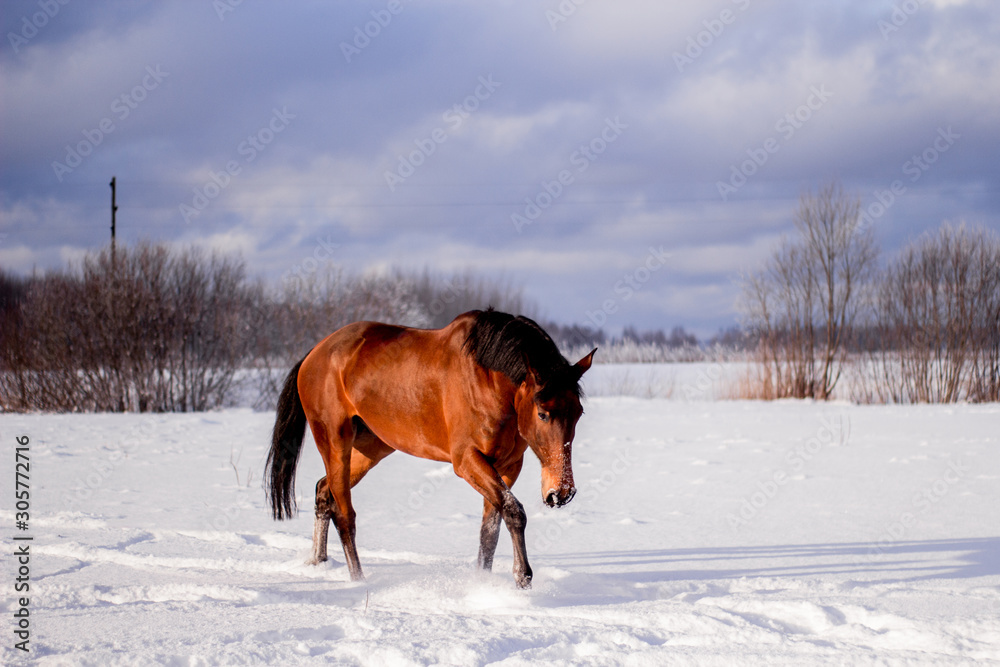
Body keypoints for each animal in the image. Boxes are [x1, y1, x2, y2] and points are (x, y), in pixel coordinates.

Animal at [264, 308, 595, 588]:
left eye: (579, 412)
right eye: (543, 413)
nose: (561, 492)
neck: (486, 379)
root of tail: (314, 355)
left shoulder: (508, 466)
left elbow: (491, 530)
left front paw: (482, 583)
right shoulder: (467, 461)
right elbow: (514, 512)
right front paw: (522, 577)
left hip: (371, 447)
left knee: (324, 492)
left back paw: (318, 562)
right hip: (335, 443)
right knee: (345, 516)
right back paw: (358, 580)